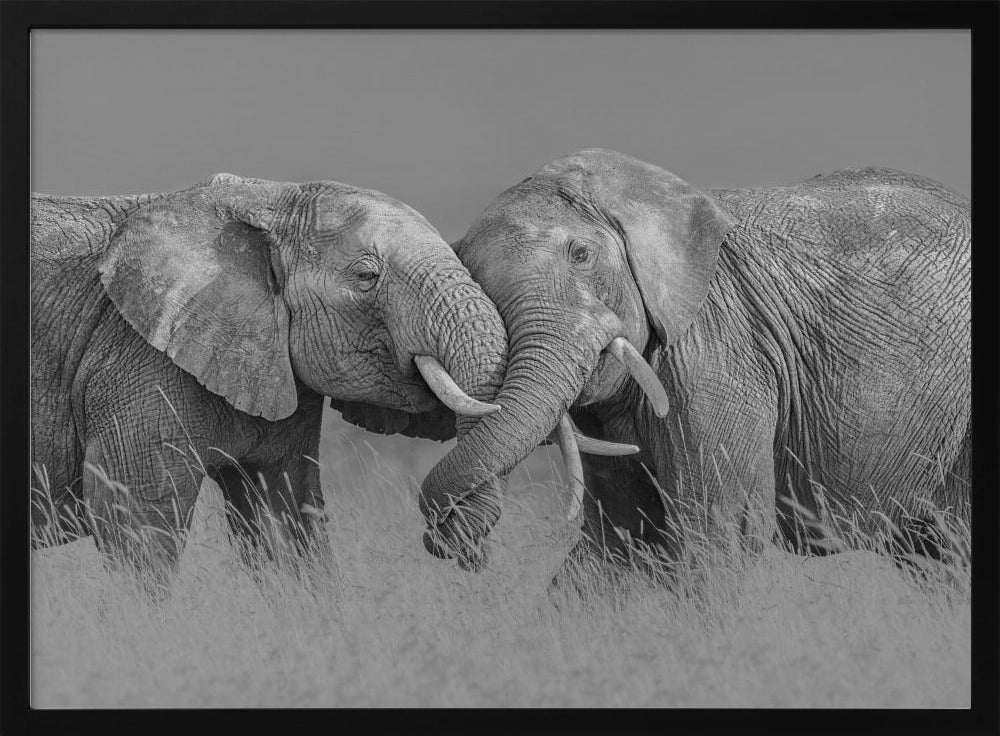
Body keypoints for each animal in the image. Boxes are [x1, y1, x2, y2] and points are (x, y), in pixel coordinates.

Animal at [30, 172, 511, 591]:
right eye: (366, 277)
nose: (457, 547)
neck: (268, 200)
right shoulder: (139, 360)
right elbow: (134, 516)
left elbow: (283, 519)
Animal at [418, 148, 971, 584]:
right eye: (472, 277)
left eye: (580, 255)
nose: (461, 549)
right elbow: (618, 540)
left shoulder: (719, 348)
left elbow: (719, 532)